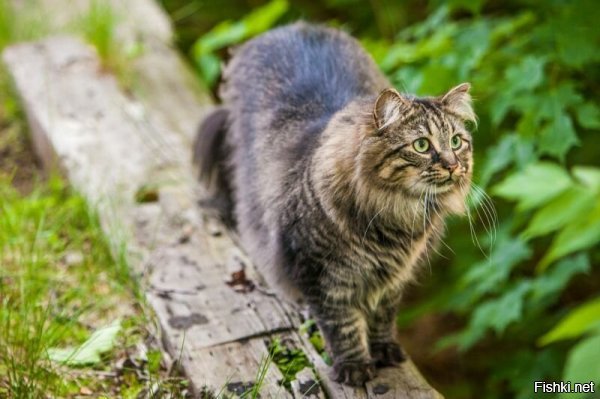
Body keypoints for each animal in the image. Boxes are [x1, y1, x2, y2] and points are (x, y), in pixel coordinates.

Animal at [195, 22, 476, 388]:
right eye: (422, 145)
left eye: (456, 142)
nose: (454, 166)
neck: (393, 217)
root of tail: (290, 27)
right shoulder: (319, 273)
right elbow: (342, 326)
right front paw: (354, 366)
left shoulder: (392, 278)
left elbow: (383, 317)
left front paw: (384, 350)